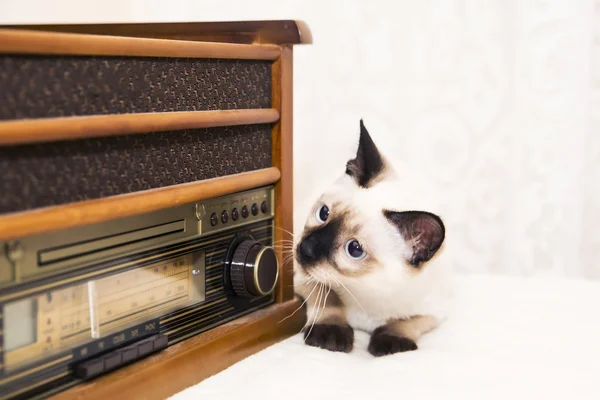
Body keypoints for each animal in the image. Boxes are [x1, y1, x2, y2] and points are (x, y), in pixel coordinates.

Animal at [290, 119, 450, 356]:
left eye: (354, 249)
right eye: (323, 213)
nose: (305, 248)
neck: (363, 290)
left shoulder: (436, 311)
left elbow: (408, 321)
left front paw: (390, 343)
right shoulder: (299, 276)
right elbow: (328, 297)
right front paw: (331, 336)